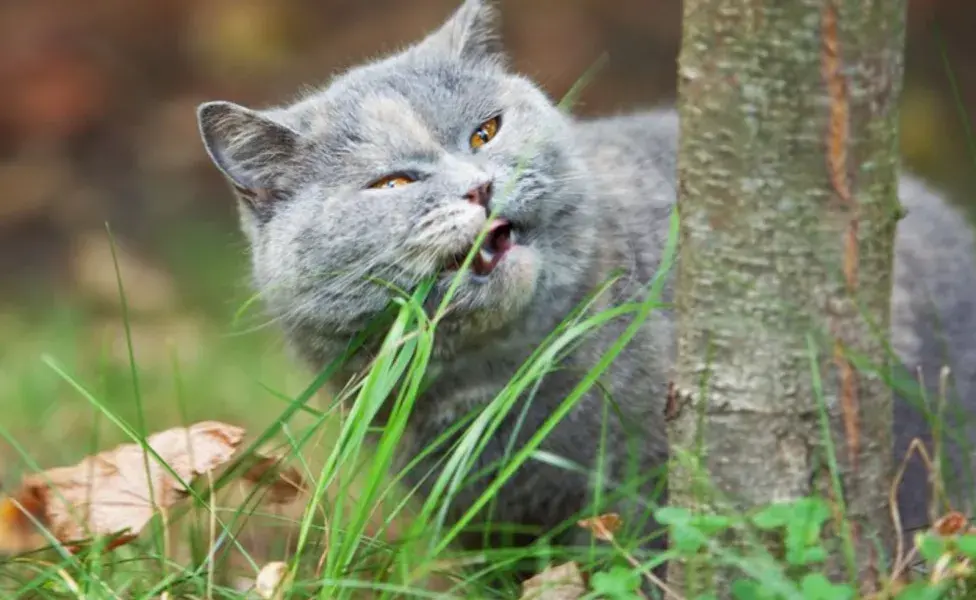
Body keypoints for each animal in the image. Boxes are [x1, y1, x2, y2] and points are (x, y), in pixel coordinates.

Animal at [194, 0, 976, 568]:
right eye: (393, 183)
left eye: (485, 133)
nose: (480, 187)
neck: (500, 381)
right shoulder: (478, 517)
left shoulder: (651, 489)